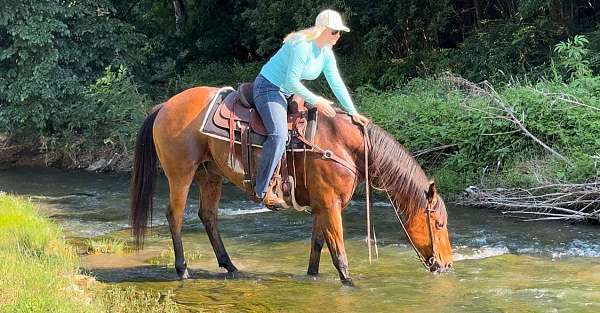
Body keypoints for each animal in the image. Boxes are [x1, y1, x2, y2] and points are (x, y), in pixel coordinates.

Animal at [130, 86, 450, 286]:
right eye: (439, 223)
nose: (446, 265)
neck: (343, 144)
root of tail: (165, 105)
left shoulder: (322, 205)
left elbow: (318, 246)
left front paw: (312, 277)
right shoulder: (331, 205)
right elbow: (338, 251)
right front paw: (350, 284)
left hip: (211, 176)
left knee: (208, 216)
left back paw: (230, 266)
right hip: (180, 174)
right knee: (175, 216)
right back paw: (182, 270)